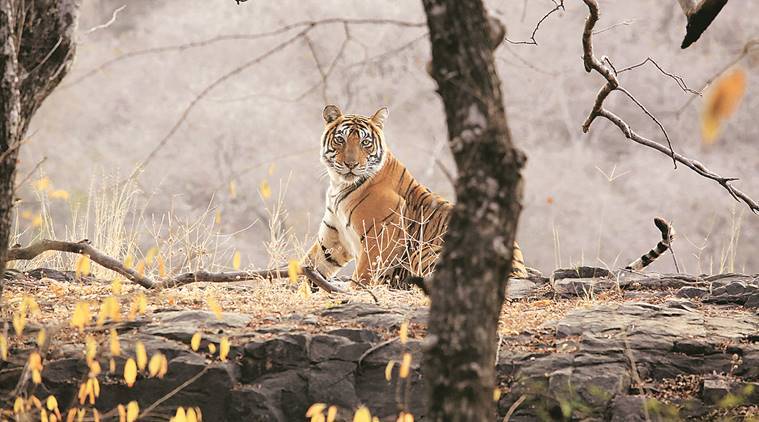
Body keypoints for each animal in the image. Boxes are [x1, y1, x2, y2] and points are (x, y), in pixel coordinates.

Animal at [302, 106, 528, 290]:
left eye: (365, 143)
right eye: (340, 139)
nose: (351, 164)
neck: (339, 185)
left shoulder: (381, 238)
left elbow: (363, 275)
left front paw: (355, 292)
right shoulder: (334, 237)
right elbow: (311, 263)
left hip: (427, 250)